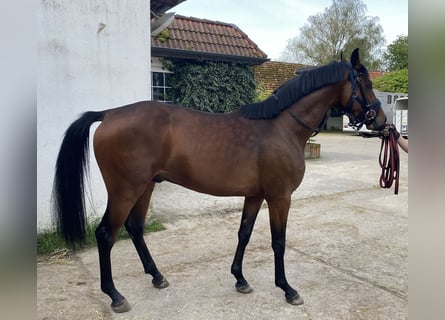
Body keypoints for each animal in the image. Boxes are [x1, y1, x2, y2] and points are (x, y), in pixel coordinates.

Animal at [52, 48, 386, 314]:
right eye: (367, 84)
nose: (381, 121)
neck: (280, 127)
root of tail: (108, 114)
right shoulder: (280, 197)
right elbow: (278, 242)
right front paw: (287, 289)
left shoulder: (255, 195)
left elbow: (244, 234)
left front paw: (240, 278)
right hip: (125, 191)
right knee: (106, 235)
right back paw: (115, 295)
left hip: (144, 187)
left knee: (135, 229)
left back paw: (157, 276)